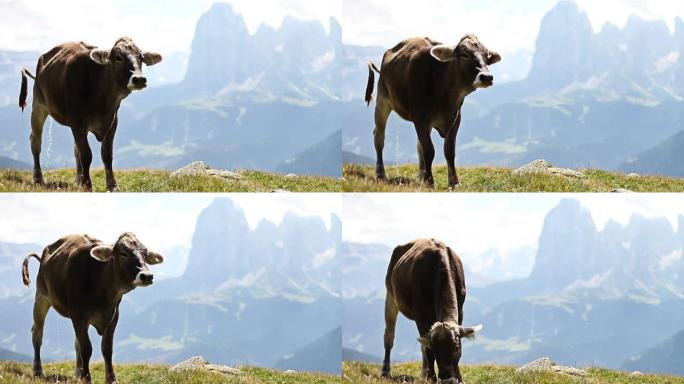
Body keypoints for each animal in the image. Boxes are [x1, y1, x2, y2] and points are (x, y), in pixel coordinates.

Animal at [18, 37, 162, 190]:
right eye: (118, 57)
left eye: (141, 58)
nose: (139, 79)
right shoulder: (77, 122)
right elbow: (86, 155)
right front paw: (87, 186)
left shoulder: (112, 123)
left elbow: (107, 155)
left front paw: (112, 186)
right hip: (38, 105)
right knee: (36, 141)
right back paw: (38, 178)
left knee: (76, 149)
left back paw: (78, 179)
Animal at [21, 232, 163, 382]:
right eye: (123, 253)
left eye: (145, 254)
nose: (147, 276)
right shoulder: (78, 316)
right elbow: (86, 348)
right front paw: (87, 378)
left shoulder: (114, 316)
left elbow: (106, 348)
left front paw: (111, 379)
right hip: (41, 297)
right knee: (37, 334)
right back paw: (38, 371)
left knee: (76, 342)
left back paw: (78, 373)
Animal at [366, 35, 500, 188]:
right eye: (464, 54)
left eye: (487, 56)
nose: (487, 77)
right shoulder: (420, 118)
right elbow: (429, 151)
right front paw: (430, 182)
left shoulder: (456, 119)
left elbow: (449, 151)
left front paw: (454, 182)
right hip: (382, 100)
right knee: (379, 137)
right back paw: (381, 174)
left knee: (419, 146)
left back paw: (421, 176)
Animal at [380, 238, 480, 382]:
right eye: (435, 349)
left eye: (456, 348)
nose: (447, 381)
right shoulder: (420, 314)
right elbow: (427, 349)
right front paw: (432, 378)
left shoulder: (460, 310)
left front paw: (459, 378)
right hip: (390, 297)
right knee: (389, 336)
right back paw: (385, 371)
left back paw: (423, 374)